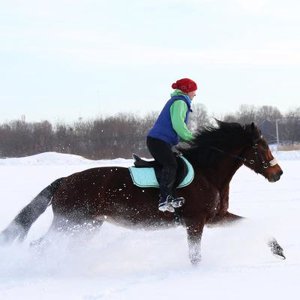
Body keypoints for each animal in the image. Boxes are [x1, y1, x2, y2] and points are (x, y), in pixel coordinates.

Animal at [0, 120, 284, 264]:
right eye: (260, 147)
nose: (278, 173)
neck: (207, 172)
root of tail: (64, 181)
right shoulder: (195, 222)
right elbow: (195, 256)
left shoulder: (214, 218)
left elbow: (252, 224)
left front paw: (278, 249)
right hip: (70, 222)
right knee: (39, 246)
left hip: (86, 226)